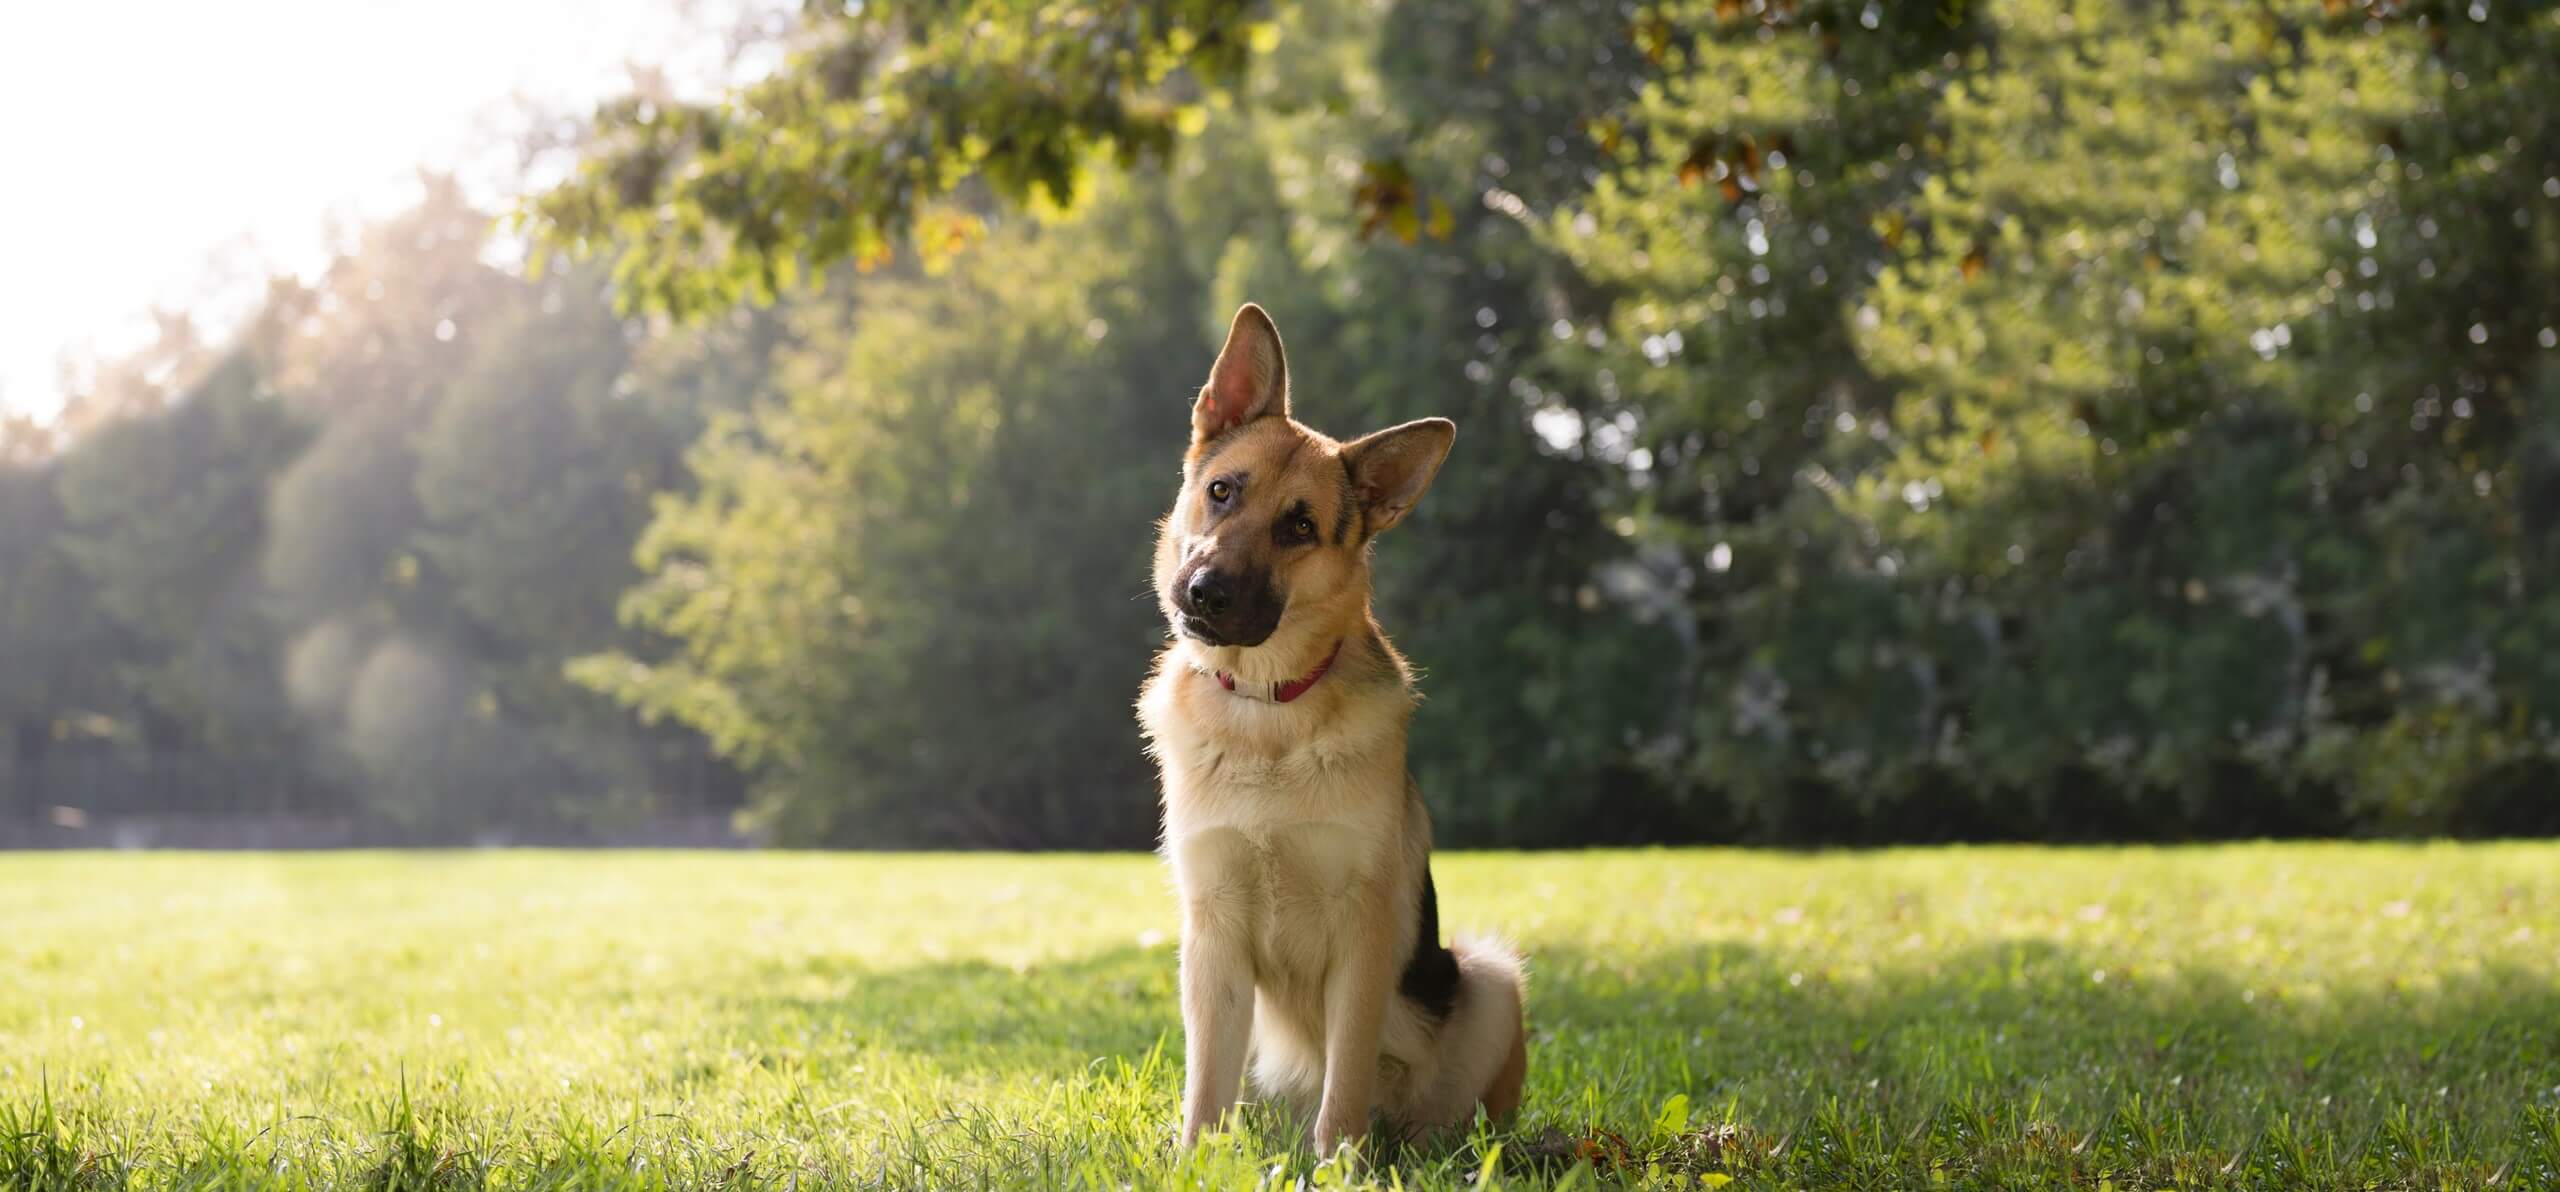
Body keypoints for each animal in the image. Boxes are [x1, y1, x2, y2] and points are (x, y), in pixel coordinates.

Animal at [1136, 300, 1515, 1156]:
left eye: (1299, 527)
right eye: (1222, 491)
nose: (1204, 593)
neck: (1267, 709)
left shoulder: (1363, 937)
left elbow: (1346, 1075)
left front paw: (1340, 1162)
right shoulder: (1211, 937)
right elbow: (1205, 1084)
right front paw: (1195, 1160)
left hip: (1491, 977)